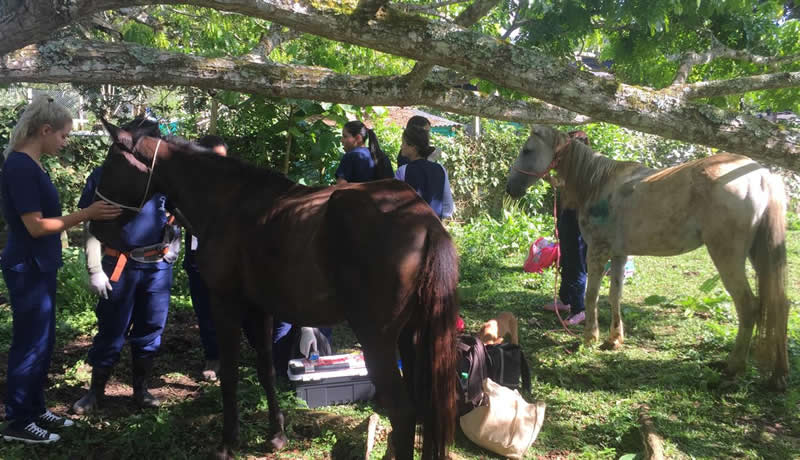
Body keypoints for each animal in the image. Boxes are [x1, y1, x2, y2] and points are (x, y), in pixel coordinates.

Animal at [92, 119, 456, 460]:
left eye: (111, 165)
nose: (96, 226)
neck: (228, 201)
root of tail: (423, 221)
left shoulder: (225, 301)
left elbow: (231, 375)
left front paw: (228, 443)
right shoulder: (260, 307)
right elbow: (266, 369)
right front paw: (276, 435)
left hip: (377, 338)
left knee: (403, 412)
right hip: (411, 334)